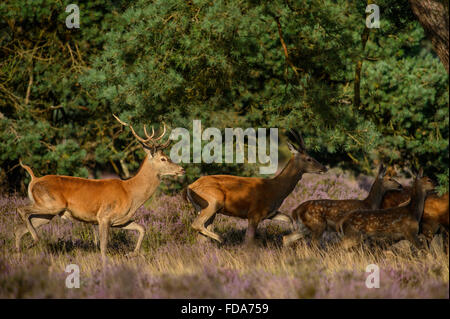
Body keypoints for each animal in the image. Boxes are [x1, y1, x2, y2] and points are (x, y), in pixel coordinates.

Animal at [15, 115, 185, 262]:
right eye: (163, 159)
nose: (182, 169)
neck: (131, 193)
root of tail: (34, 180)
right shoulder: (104, 216)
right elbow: (103, 247)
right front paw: (106, 264)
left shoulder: (121, 220)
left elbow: (142, 228)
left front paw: (131, 254)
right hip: (51, 204)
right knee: (21, 210)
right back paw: (33, 241)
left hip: (48, 213)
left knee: (20, 229)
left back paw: (20, 252)